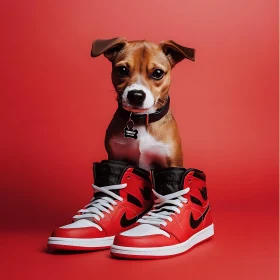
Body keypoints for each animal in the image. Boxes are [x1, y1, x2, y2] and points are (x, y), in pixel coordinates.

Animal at [90, 37, 195, 168]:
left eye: (158, 73)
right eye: (122, 70)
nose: (136, 95)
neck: (142, 120)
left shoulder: (172, 162)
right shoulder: (116, 157)